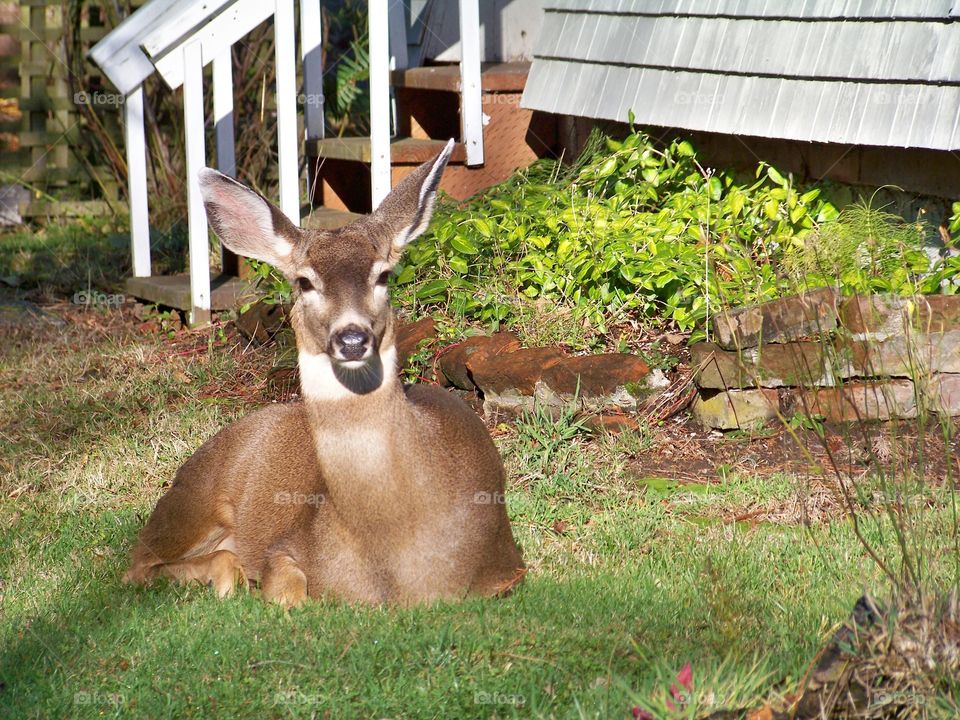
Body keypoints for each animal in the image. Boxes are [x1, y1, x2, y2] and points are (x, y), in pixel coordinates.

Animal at [122, 141, 524, 608]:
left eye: (383, 275)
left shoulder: (507, 566)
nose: (351, 339)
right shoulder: (287, 546)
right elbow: (287, 592)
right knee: (137, 567)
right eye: (304, 282)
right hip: (191, 504)